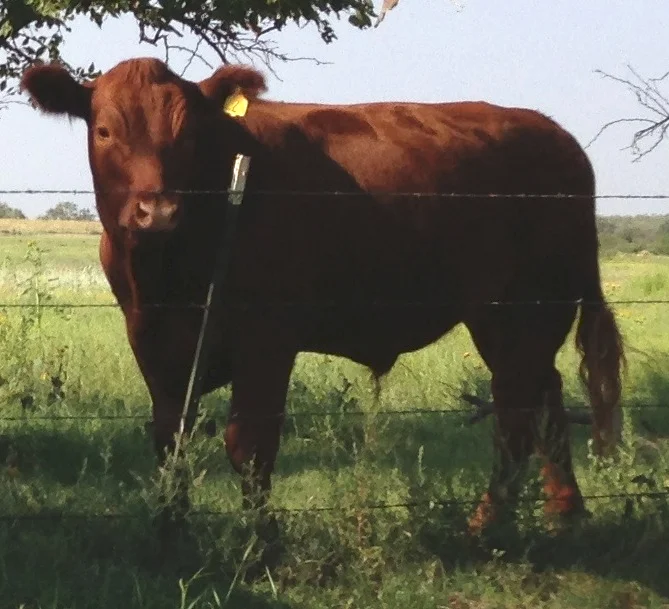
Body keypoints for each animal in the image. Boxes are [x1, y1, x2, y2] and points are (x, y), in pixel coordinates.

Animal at [20, 57, 624, 537]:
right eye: (103, 131)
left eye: (188, 135)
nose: (158, 211)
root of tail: (556, 135)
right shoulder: (152, 337)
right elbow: (171, 437)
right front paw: (171, 526)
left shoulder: (267, 338)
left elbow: (249, 444)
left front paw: (261, 541)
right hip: (525, 321)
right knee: (545, 397)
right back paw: (564, 511)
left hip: (519, 312)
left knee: (517, 414)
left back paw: (486, 525)